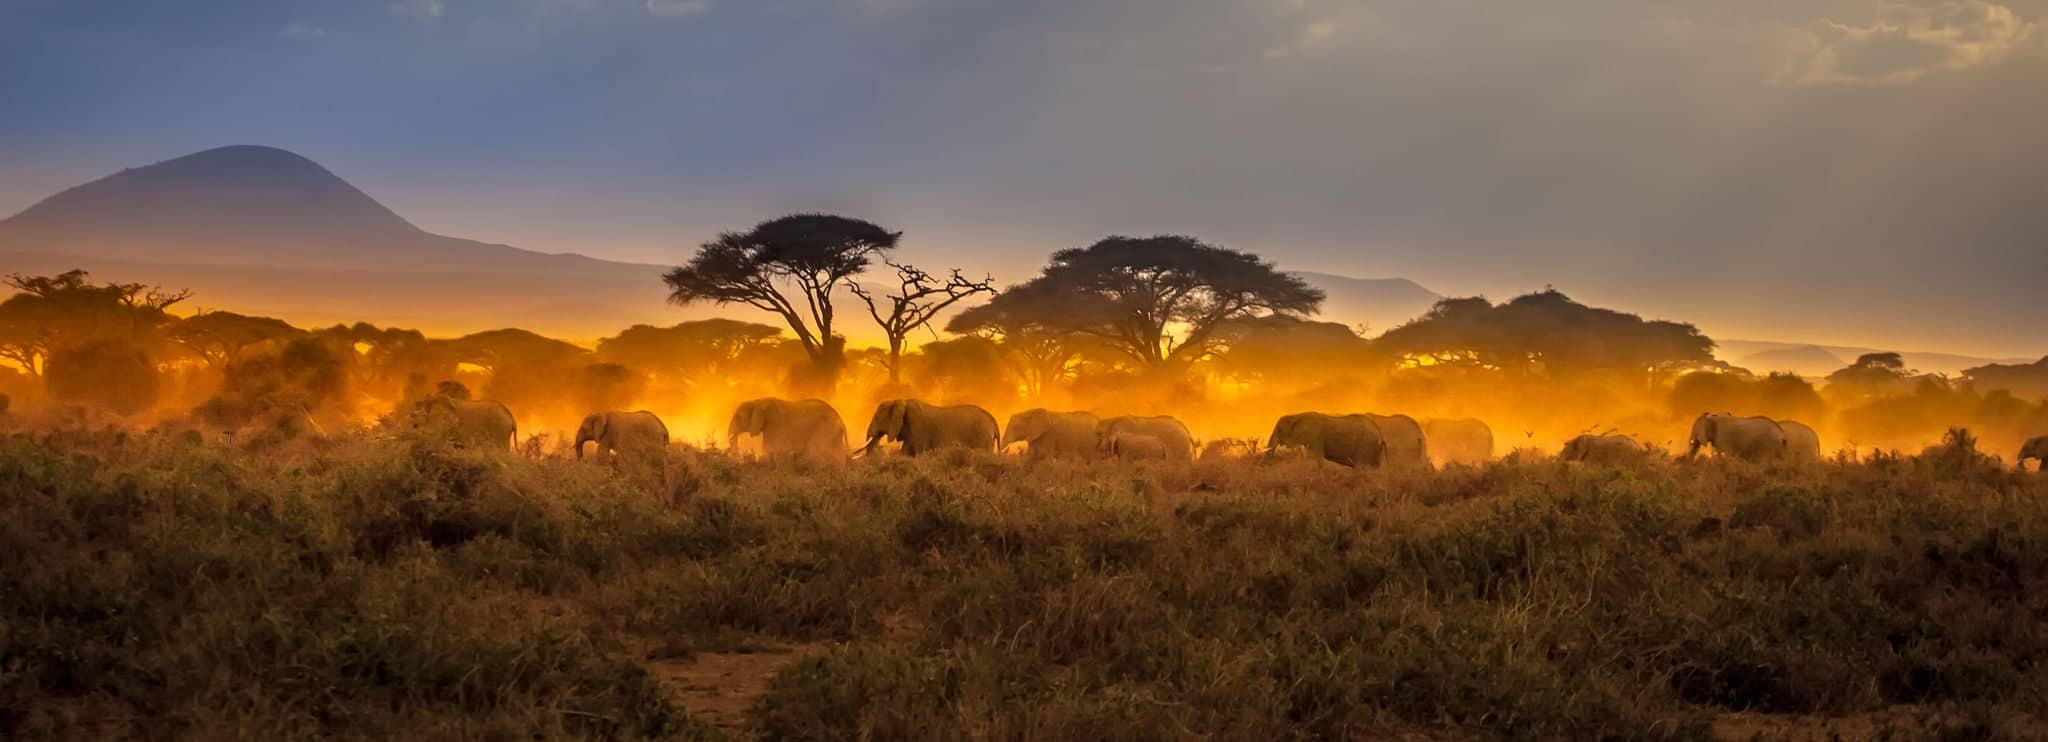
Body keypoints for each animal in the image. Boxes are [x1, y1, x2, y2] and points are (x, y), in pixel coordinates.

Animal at [862, 399, 999, 456]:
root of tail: (993, 420)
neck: (898, 400)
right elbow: (905, 452)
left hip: (982, 436)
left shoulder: (918, 427)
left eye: (876, 418)